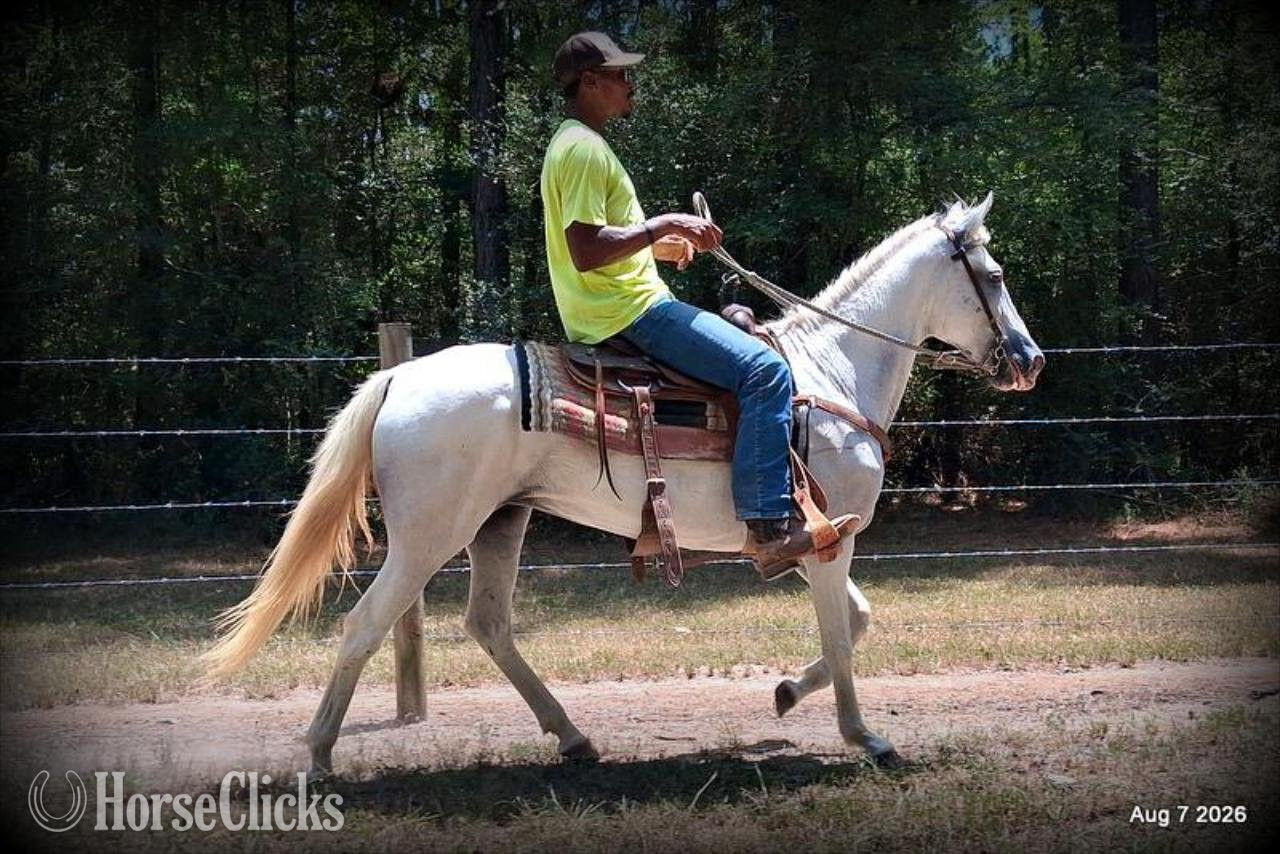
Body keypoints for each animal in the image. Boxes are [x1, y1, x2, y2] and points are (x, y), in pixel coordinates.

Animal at [203, 192, 1044, 775]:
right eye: (994, 275)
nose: (1030, 359)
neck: (831, 371)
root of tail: (397, 378)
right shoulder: (828, 544)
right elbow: (842, 639)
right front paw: (866, 737)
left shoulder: (812, 541)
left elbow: (858, 624)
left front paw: (784, 694)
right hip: (427, 538)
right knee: (363, 626)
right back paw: (319, 754)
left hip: (499, 524)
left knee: (488, 624)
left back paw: (574, 737)